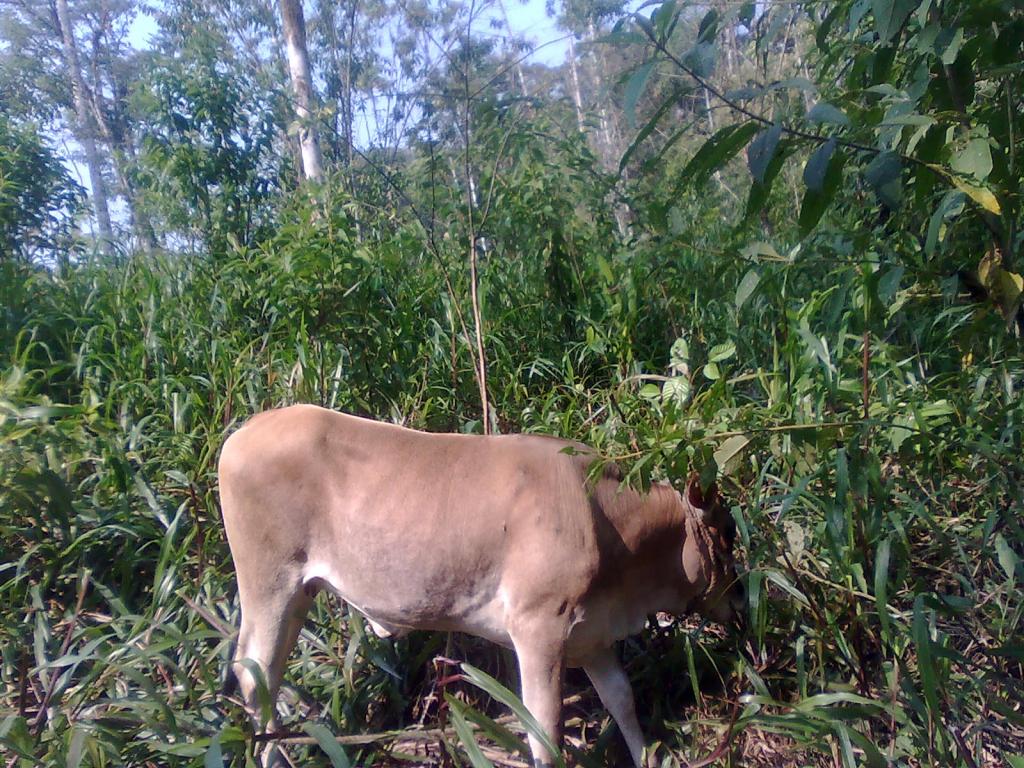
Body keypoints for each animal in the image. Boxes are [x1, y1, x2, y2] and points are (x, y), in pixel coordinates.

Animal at [218, 405, 745, 765]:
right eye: (729, 532)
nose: (741, 597)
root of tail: (250, 429)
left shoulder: (591, 635)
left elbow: (622, 700)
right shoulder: (539, 627)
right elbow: (544, 729)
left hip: (297, 592)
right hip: (270, 581)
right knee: (255, 669)